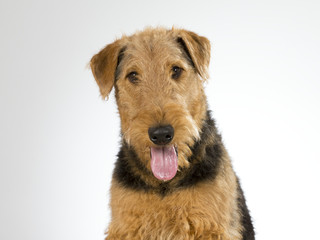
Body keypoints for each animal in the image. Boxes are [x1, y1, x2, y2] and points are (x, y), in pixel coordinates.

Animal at [89, 27, 254, 239]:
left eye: (176, 70)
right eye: (133, 75)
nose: (161, 134)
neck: (164, 185)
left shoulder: (211, 227)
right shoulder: (127, 227)